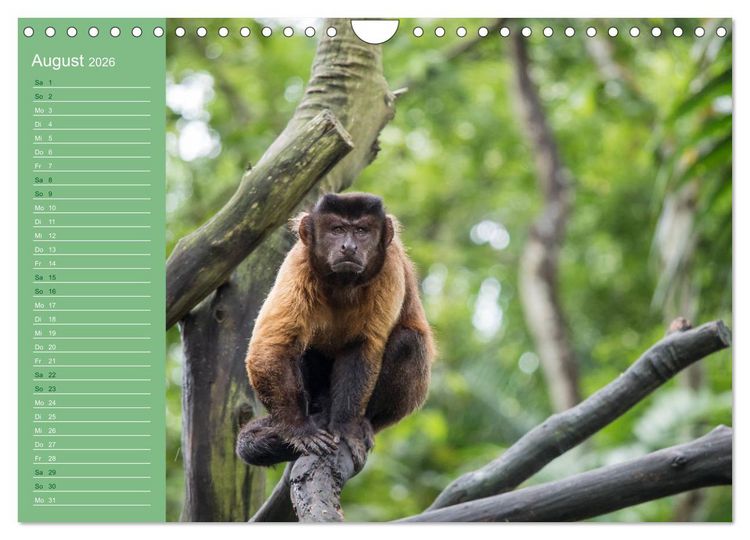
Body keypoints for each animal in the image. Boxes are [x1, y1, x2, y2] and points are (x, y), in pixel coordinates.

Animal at [236, 192, 435, 470]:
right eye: (337, 230)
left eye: (361, 231)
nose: (349, 247)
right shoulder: (298, 262)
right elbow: (272, 346)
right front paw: (299, 430)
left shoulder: (389, 268)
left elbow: (362, 347)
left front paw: (346, 427)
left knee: (410, 342)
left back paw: (364, 422)